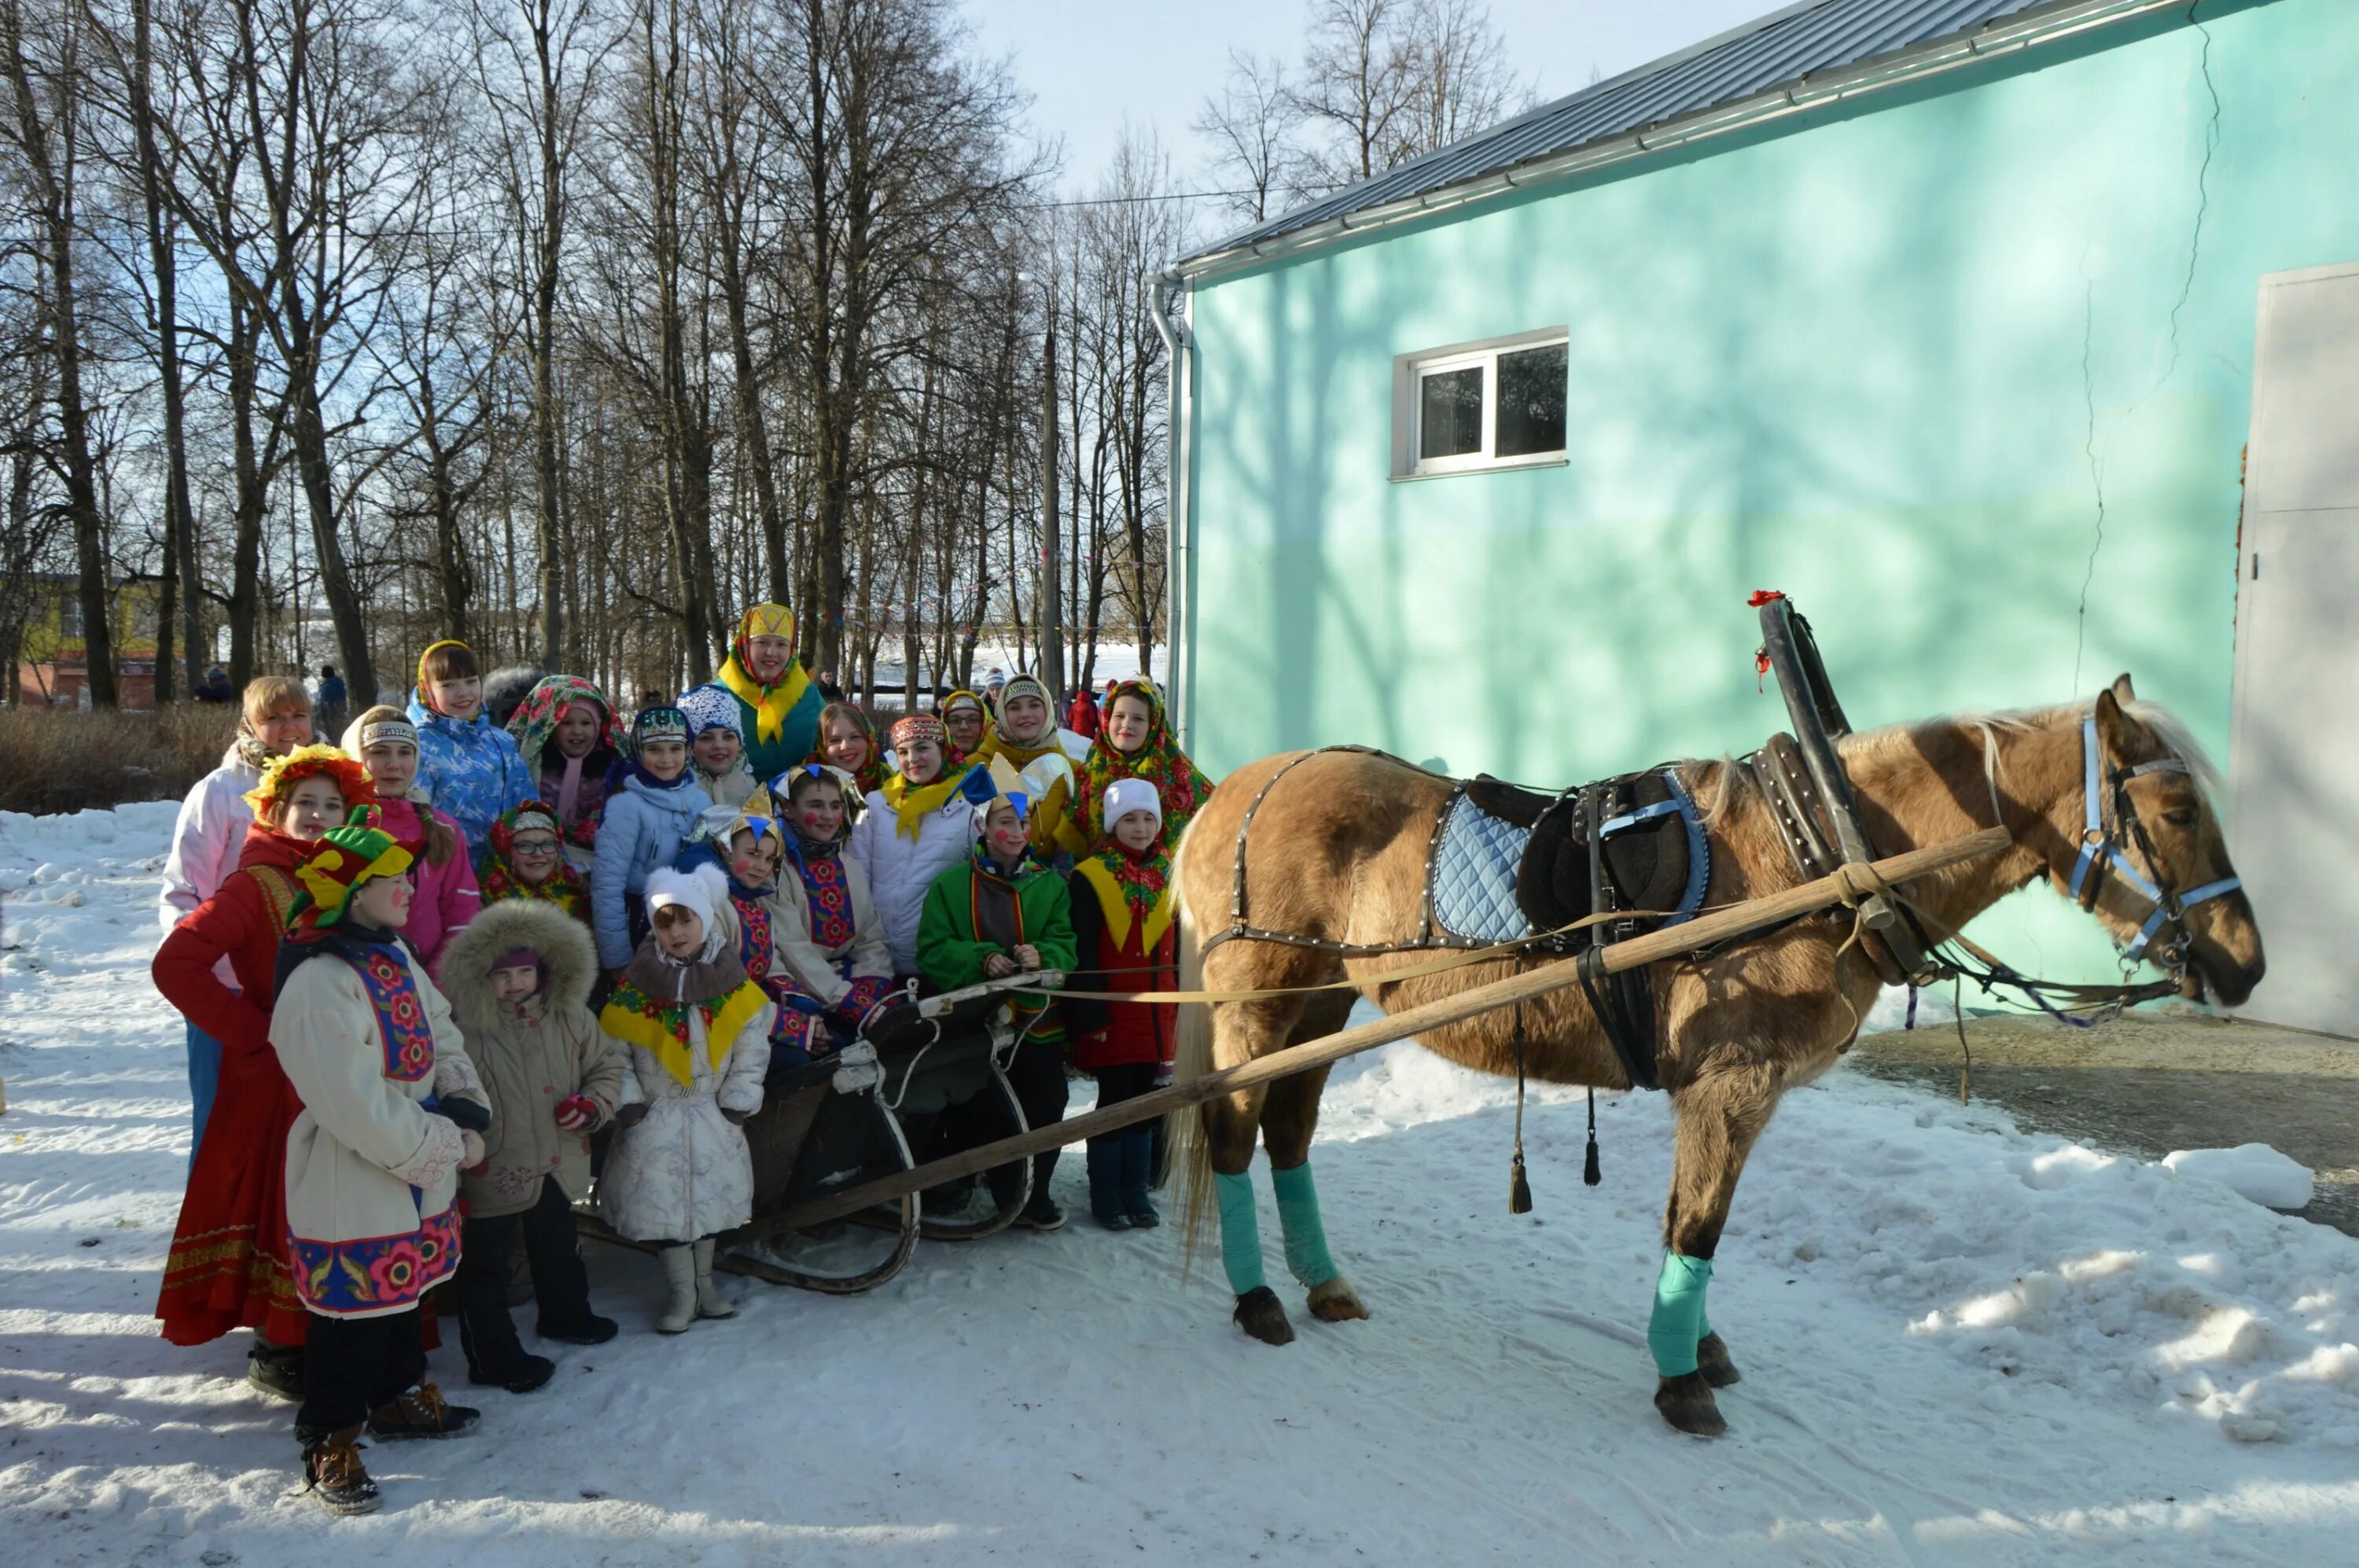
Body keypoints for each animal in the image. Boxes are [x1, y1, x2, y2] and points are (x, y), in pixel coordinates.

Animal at [1175, 674, 2265, 1434]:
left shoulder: (1732, 1092)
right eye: (2176, 812)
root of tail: (1231, 790)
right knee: (1231, 1130)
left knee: (1288, 1132)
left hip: (1325, 1004)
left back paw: (1321, 1280)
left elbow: (1690, 1220)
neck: (1820, 852)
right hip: (1260, 1003)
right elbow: (1699, 1227)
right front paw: (1681, 1378)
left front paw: (1696, 1347)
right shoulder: (1731, 1084)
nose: (2247, 965)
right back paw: (1257, 1295)